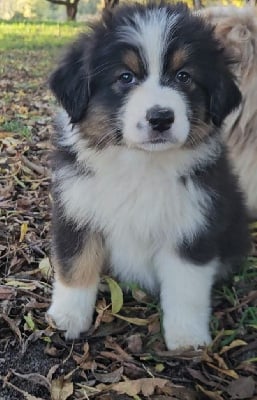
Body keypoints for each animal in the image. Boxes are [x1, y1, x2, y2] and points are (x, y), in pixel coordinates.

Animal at [47, 0, 249, 350]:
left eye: (184, 76)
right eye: (125, 77)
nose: (161, 118)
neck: (141, 164)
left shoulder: (194, 225)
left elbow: (186, 288)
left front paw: (187, 338)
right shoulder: (76, 209)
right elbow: (76, 265)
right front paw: (68, 317)